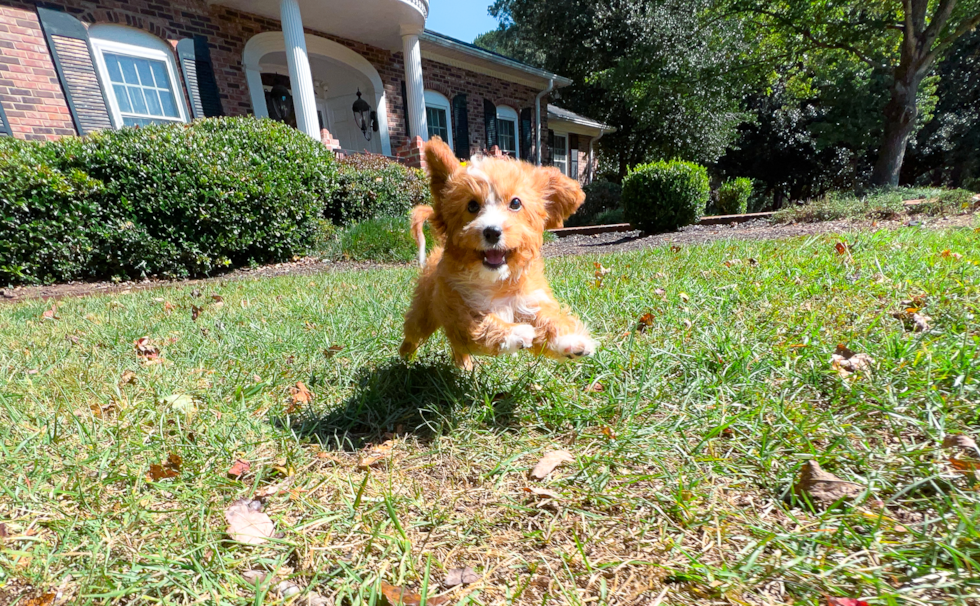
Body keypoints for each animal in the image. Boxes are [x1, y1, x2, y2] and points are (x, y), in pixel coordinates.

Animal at [398, 137, 596, 370]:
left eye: (516, 203)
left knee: (455, 347)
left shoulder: (529, 301)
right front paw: (514, 333)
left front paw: (568, 340)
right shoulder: (459, 311)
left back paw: (463, 366)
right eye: (472, 205)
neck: (496, 282)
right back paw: (405, 357)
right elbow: (482, 325)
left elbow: (548, 320)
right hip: (423, 313)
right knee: (414, 333)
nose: (492, 231)